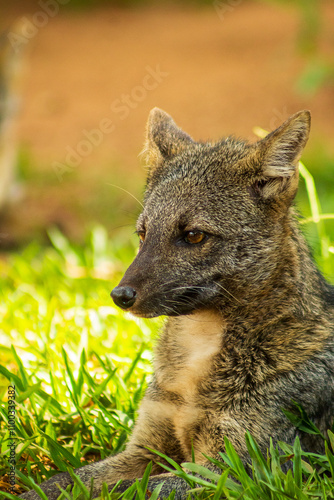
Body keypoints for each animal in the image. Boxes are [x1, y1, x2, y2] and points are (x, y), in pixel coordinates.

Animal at [20, 107, 334, 498]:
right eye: (142, 234)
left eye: (194, 235)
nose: (120, 296)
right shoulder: (145, 448)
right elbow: (64, 480)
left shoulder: (233, 472)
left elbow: (127, 491)